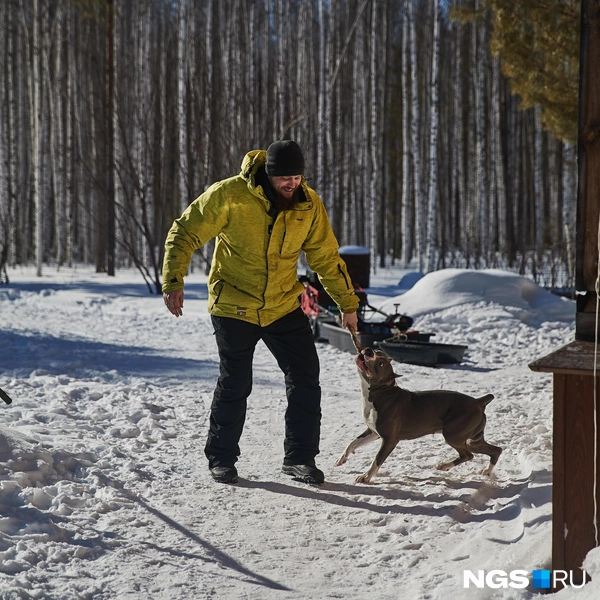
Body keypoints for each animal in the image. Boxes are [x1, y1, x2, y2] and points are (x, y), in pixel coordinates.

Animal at [332, 346, 502, 482]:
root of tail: (478, 402)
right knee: (495, 450)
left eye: (381, 363)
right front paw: (342, 458)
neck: (381, 391)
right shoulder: (373, 432)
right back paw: (486, 471)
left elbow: (377, 459)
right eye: (376, 350)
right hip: (472, 439)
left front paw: (366, 477)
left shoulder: (390, 439)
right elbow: (353, 442)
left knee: (468, 455)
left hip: (453, 434)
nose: (368, 350)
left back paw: (444, 466)